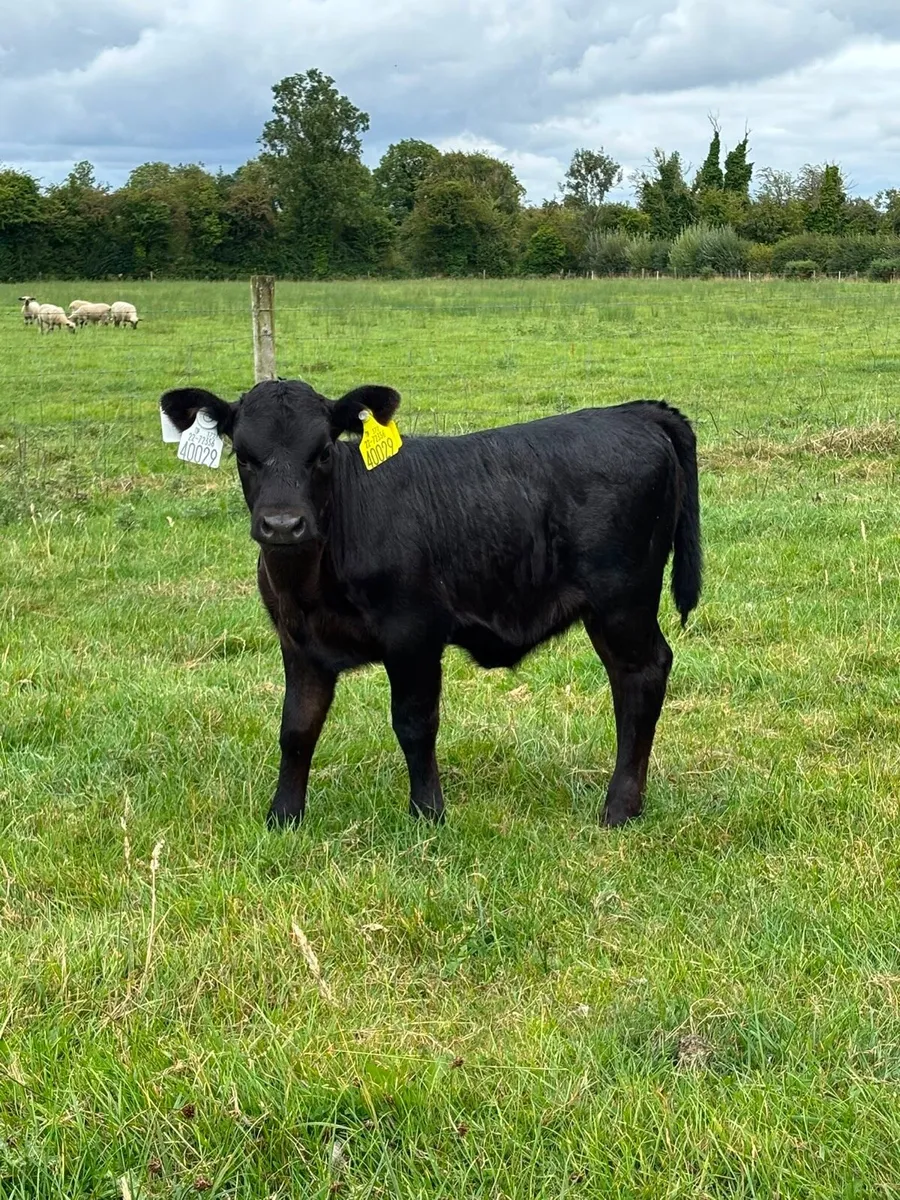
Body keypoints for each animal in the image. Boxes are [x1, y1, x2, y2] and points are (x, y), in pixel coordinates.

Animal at [160, 380, 701, 830]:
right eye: (243, 455)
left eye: (322, 453)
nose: (282, 525)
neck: (311, 582)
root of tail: (632, 412)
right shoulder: (298, 643)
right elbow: (297, 728)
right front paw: (283, 817)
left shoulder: (413, 634)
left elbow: (414, 724)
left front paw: (427, 814)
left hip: (623, 602)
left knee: (643, 675)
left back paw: (620, 807)